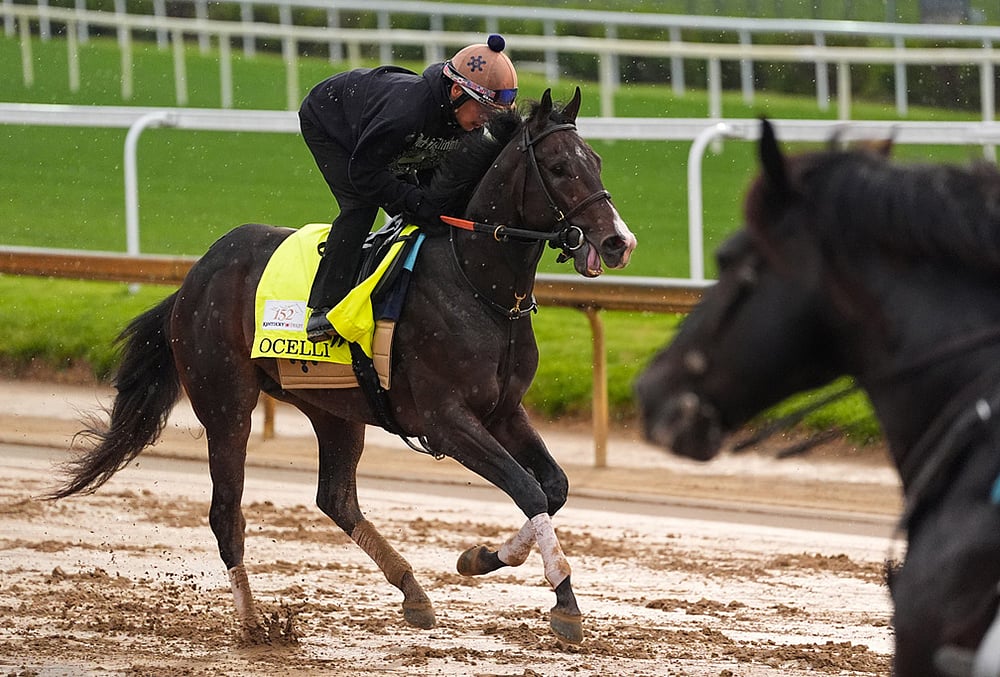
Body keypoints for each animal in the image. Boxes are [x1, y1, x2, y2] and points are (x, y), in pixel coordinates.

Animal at [46, 88, 637, 646]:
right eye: (558, 167)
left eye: (597, 161)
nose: (618, 241)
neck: (477, 284)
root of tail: (194, 278)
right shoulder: (446, 420)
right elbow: (528, 488)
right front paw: (565, 603)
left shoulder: (503, 411)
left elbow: (554, 486)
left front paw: (483, 558)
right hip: (226, 403)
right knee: (226, 513)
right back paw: (254, 625)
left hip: (334, 409)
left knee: (335, 497)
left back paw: (412, 591)